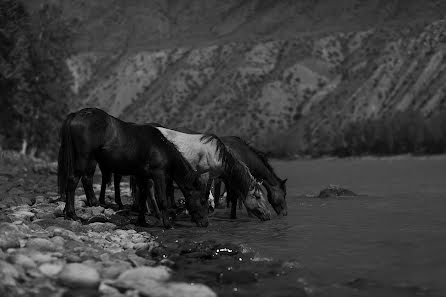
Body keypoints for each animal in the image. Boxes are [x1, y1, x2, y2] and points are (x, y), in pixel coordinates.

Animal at [56, 108, 208, 227]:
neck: (160, 147)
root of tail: (76, 115)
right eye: (201, 201)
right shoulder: (158, 175)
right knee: (74, 180)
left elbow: (143, 196)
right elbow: (162, 199)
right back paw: (73, 213)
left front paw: (142, 220)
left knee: (82, 180)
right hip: (84, 158)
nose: (205, 223)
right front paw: (167, 223)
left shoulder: (142, 176)